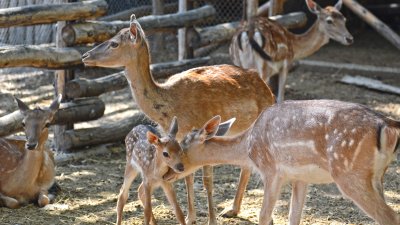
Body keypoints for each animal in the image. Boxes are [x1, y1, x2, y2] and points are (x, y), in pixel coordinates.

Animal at [81, 14, 276, 224]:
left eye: (114, 43)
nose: (85, 56)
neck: (170, 109)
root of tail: (268, 89)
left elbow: (206, 179)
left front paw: (211, 219)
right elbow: (187, 177)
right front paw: (191, 217)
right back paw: (232, 209)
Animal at [160, 100, 400, 225]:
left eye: (181, 146)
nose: (167, 174)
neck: (248, 146)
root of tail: (387, 124)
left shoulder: (271, 170)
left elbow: (264, 215)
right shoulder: (300, 177)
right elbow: (294, 216)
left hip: (349, 172)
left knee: (390, 216)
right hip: (377, 175)